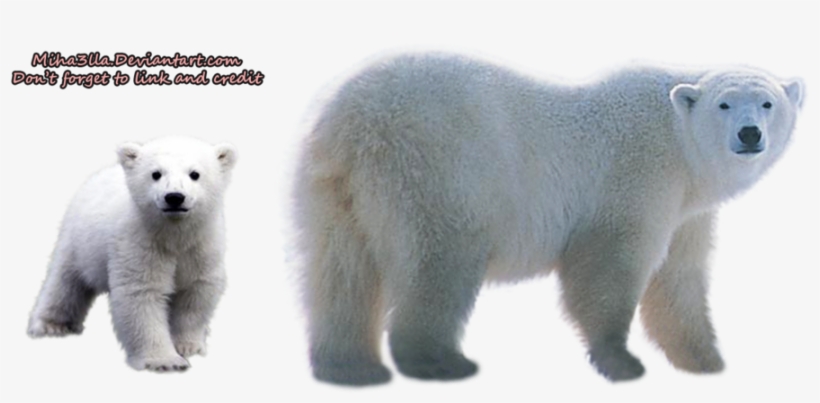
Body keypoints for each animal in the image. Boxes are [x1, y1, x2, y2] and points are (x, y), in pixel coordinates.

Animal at [28, 136, 237, 372]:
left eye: (195, 174)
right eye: (156, 173)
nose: (174, 197)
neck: (173, 234)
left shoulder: (201, 246)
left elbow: (195, 291)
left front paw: (187, 346)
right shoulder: (140, 242)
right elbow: (142, 293)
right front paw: (165, 361)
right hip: (78, 240)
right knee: (66, 281)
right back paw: (52, 324)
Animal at [293, 53, 804, 385]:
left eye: (768, 103)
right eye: (724, 103)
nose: (749, 134)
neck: (678, 141)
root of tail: (353, 119)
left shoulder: (686, 211)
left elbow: (679, 279)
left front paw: (705, 358)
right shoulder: (637, 175)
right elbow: (609, 264)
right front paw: (622, 361)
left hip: (335, 190)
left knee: (340, 271)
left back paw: (351, 367)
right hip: (438, 170)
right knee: (439, 261)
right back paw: (439, 361)